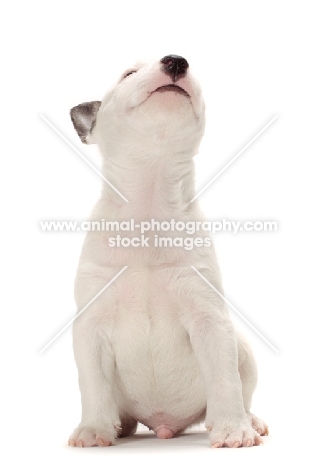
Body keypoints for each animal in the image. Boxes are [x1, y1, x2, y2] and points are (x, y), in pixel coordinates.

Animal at [68, 55, 268, 450]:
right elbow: (93, 384)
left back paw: (247, 420)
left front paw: (233, 430)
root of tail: (165, 426)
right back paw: (118, 426)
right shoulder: (89, 326)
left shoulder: (210, 319)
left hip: (244, 351)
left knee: (241, 389)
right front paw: (93, 430)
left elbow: (226, 380)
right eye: (128, 74)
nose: (176, 62)